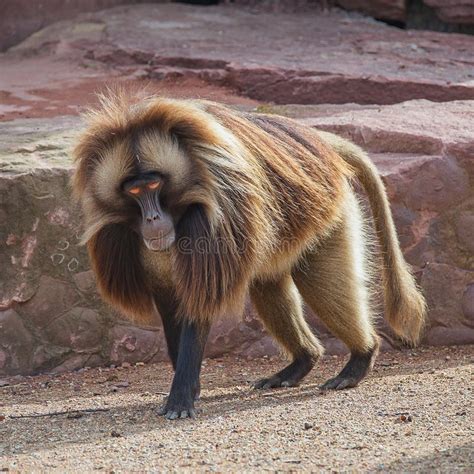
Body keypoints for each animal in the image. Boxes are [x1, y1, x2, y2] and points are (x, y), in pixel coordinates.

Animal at [72, 90, 428, 418]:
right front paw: (189, 387)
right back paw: (301, 362)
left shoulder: (217, 215)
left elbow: (199, 300)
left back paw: (359, 361)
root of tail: (320, 142)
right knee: (268, 285)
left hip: (329, 213)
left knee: (320, 284)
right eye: (133, 190)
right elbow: (172, 305)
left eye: (154, 186)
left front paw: (181, 397)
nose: (152, 219)